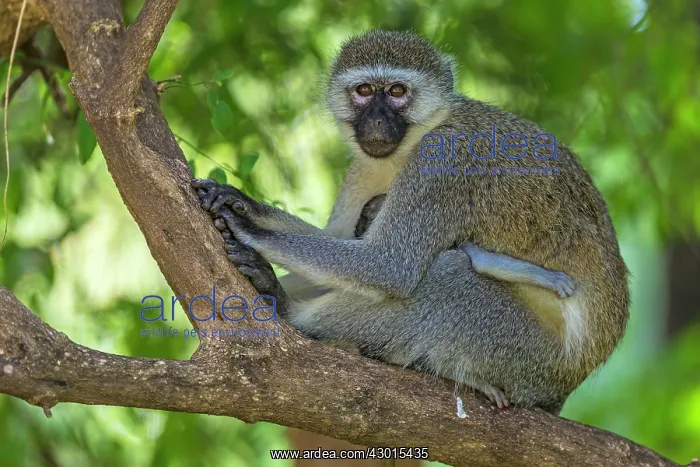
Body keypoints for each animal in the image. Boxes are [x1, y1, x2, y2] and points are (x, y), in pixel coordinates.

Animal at [192, 29, 629, 414]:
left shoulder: (443, 161)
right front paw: (244, 204)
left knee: (448, 277)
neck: (422, 134)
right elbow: (336, 249)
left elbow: (388, 266)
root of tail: (563, 390)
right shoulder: (362, 169)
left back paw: (287, 310)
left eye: (397, 92)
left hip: (525, 355)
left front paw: (251, 230)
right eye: (364, 91)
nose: (376, 122)